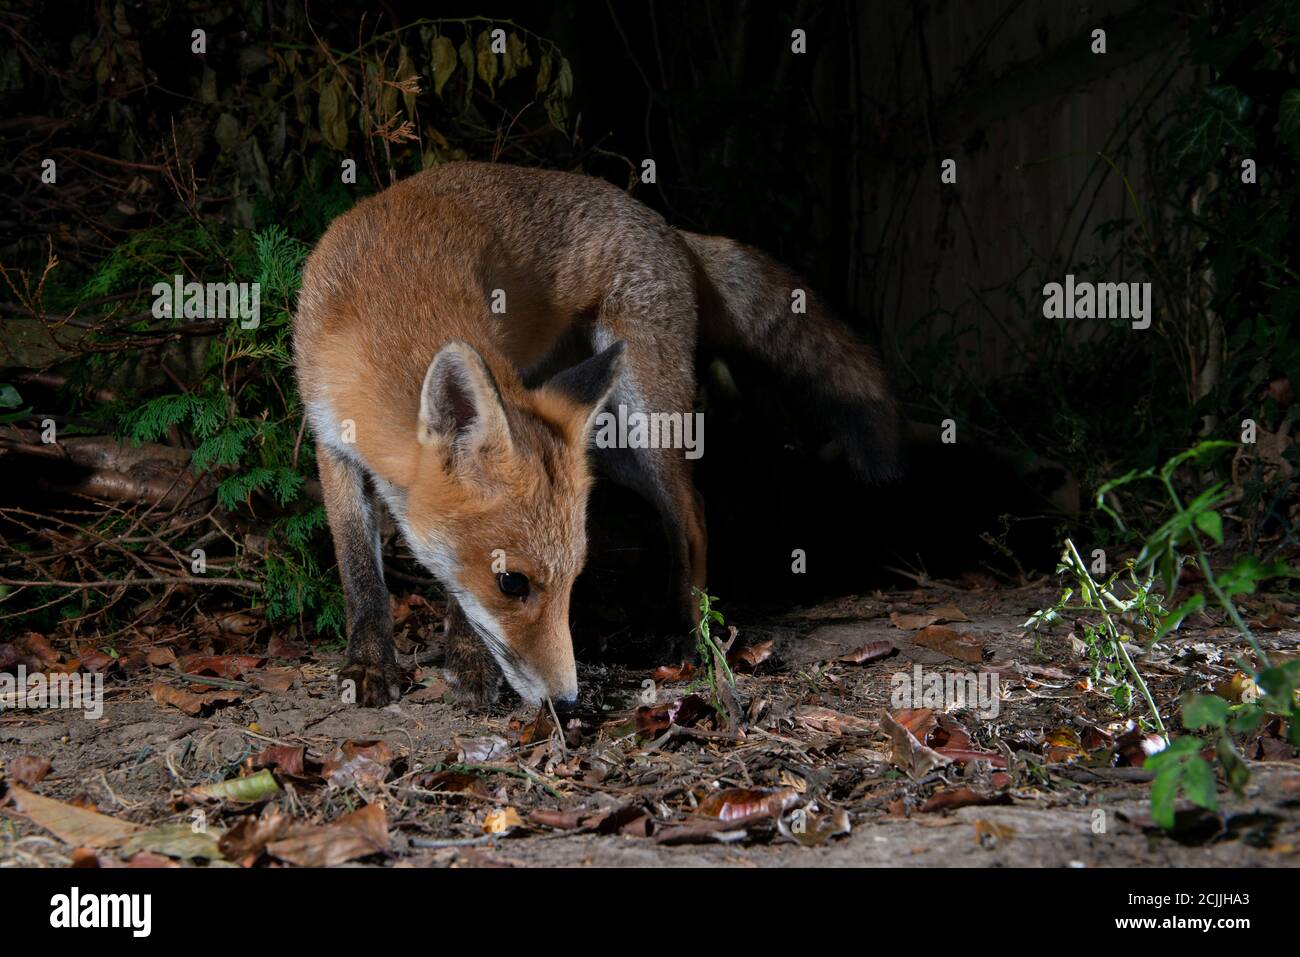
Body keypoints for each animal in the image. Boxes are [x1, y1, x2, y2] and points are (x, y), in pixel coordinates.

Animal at [293, 158, 899, 712]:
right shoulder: (330, 440)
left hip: (646, 414)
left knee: (693, 510)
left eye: (572, 581)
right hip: (603, 441)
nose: (566, 702)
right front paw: (370, 662)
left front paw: (468, 659)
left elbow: (452, 590)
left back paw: (687, 630)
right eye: (513, 584)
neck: (383, 308)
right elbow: (357, 568)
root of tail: (668, 226)